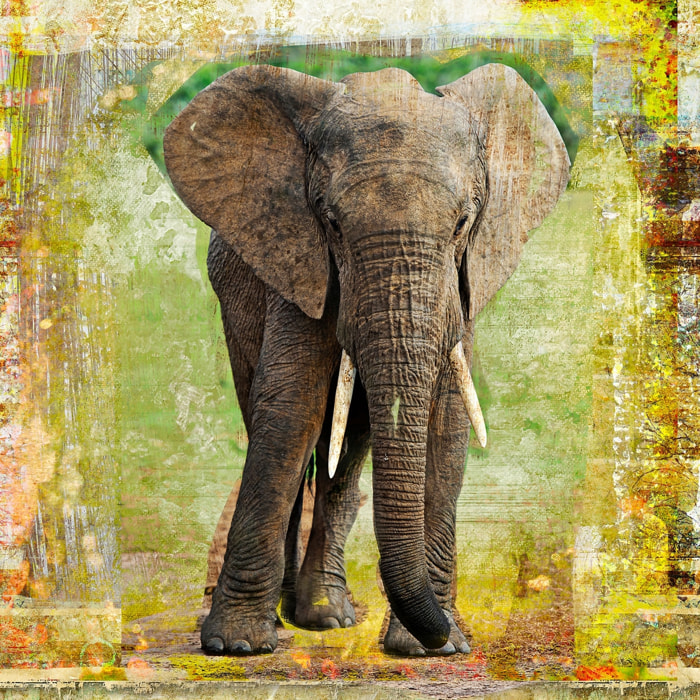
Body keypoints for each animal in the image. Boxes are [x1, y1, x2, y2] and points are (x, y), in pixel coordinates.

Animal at [163, 62, 570, 656]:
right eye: (332, 223)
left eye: (462, 225)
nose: (442, 633)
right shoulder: (299, 260)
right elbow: (291, 408)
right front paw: (237, 645)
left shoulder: (461, 284)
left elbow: (446, 419)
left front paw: (434, 648)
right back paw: (296, 616)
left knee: (348, 449)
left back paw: (323, 615)